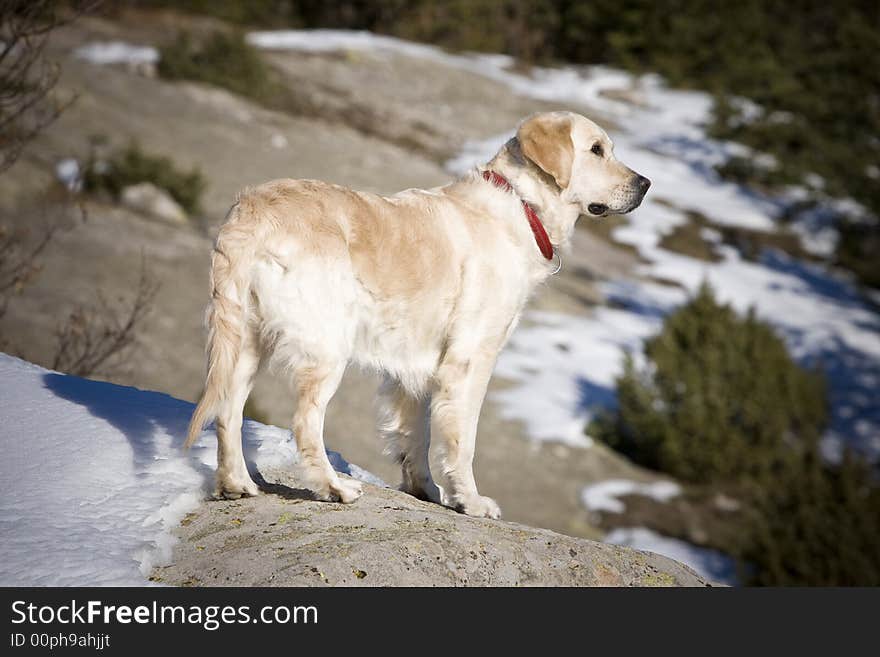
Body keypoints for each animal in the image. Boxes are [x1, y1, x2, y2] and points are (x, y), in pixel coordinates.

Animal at [186, 110, 648, 516]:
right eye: (596, 150)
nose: (645, 183)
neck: (521, 205)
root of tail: (251, 212)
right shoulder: (470, 359)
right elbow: (462, 440)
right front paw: (470, 501)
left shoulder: (418, 366)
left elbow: (417, 436)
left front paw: (426, 489)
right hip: (327, 347)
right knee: (304, 422)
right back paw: (334, 488)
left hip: (246, 342)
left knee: (228, 413)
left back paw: (236, 484)